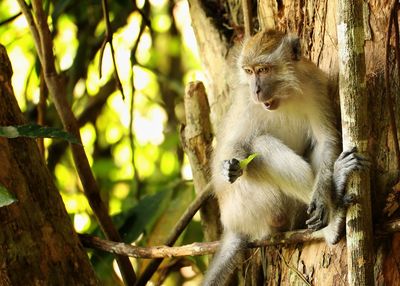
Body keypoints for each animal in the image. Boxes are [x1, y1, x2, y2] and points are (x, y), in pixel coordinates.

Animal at [202, 30, 370, 284]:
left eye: (263, 70)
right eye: (249, 71)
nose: (256, 90)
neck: (284, 95)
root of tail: (233, 225)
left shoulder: (313, 84)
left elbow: (325, 140)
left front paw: (323, 196)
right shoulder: (246, 102)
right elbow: (232, 148)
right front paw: (228, 167)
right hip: (254, 206)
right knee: (259, 147)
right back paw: (333, 223)